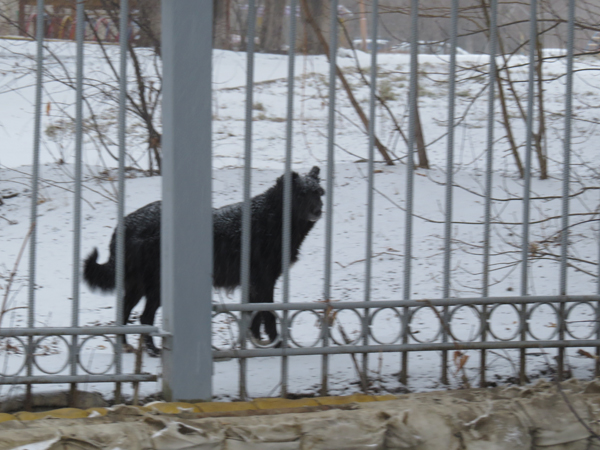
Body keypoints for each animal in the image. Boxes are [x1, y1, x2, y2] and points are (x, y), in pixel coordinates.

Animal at [83, 167, 324, 356]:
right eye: (301, 194)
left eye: (319, 193)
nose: (318, 210)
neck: (272, 218)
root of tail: (124, 225)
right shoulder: (263, 281)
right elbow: (268, 315)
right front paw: (277, 344)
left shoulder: (254, 283)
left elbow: (254, 315)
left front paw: (257, 342)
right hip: (155, 287)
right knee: (144, 317)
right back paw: (152, 350)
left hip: (139, 287)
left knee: (125, 313)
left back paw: (125, 346)